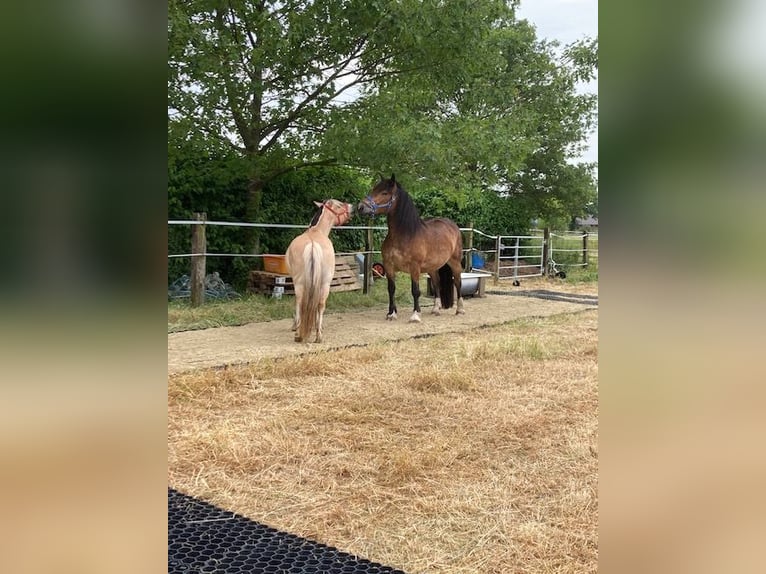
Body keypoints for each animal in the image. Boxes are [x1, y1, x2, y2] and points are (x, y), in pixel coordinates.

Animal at [284, 199, 354, 342]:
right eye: (339, 205)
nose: (352, 207)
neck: (316, 231)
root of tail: (312, 245)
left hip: (300, 283)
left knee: (301, 302)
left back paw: (300, 333)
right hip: (325, 283)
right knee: (320, 304)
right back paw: (317, 335)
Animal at [358, 174, 464, 324]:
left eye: (384, 193)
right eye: (374, 189)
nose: (361, 207)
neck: (404, 234)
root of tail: (453, 225)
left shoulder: (414, 267)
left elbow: (415, 290)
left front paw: (415, 315)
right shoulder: (389, 266)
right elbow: (391, 289)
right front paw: (391, 314)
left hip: (454, 262)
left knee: (458, 282)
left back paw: (460, 309)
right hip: (432, 267)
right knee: (437, 283)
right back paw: (435, 309)